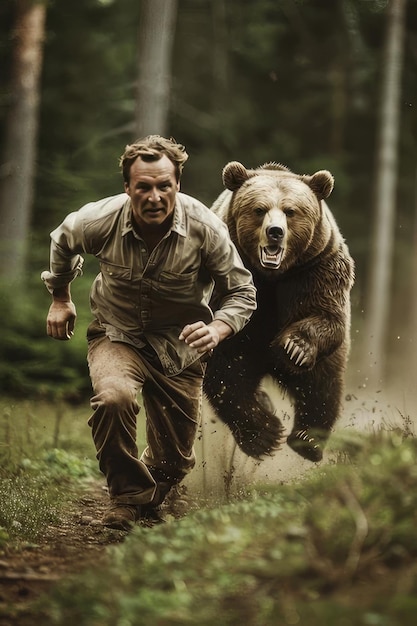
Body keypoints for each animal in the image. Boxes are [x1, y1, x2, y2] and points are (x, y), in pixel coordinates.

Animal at [203, 160, 352, 464]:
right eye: (259, 209)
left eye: (290, 211)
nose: (275, 231)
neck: (272, 276)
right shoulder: (228, 278)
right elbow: (226, 364)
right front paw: (264, 434)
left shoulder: (316, 270)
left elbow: (327, 317)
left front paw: (294, 347)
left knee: (323, 386)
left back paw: (308, 441)